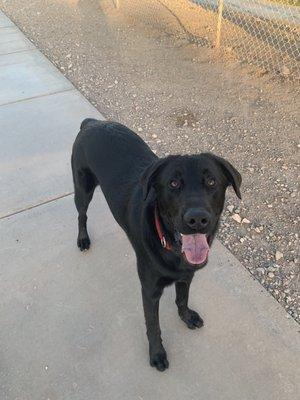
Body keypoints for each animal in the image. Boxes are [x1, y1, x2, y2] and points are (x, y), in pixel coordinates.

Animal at [71, 119, 241, 372]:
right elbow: (153, 326)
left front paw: (186, 316)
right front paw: (157, 353)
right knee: (82, 215)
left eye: (211, 181)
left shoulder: (186, 276)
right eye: (173, 183)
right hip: (82, 188)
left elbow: (182, 298)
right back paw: (83, 239)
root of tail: (94, 122)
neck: (171, 248)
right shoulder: (150, 291)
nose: (197, 219)